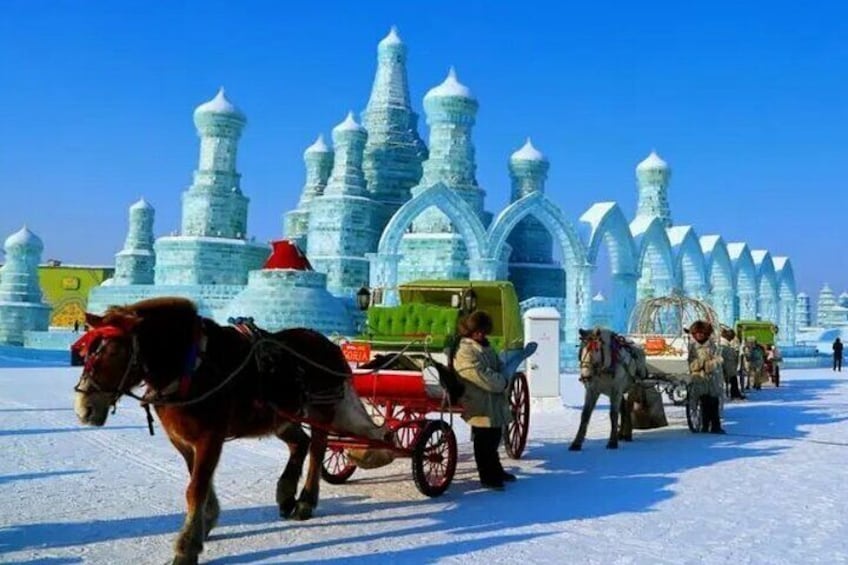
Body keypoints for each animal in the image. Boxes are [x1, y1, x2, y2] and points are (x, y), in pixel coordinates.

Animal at [73, 298, 388, 560]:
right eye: (87, 352)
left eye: (114, 352)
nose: (83, 407)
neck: (191, 367)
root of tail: (330, 345)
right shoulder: (182, 439)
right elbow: (196, 479)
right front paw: (207, 521)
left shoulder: (210, 437)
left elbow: (196, 488)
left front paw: (187, 546)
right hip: (280, 417)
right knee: (300, 443)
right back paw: (286, 494)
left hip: (321, 409)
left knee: (319, 448)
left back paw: (305, 502)